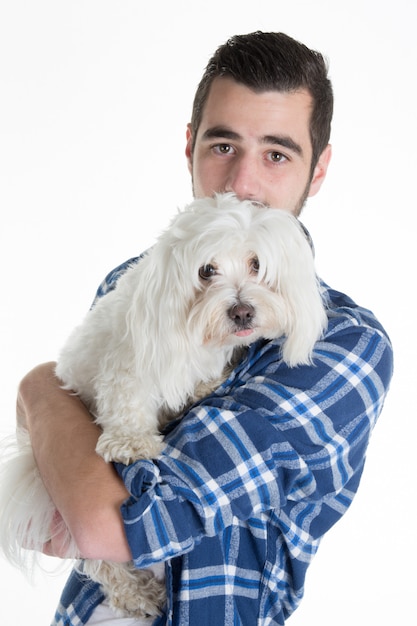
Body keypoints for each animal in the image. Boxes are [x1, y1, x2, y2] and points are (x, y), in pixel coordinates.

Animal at [0, 193, 324, 616]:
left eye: (257, 265)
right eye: (206, 270)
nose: (242, 311)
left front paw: (209, 384)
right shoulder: (127, 360)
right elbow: (127, 397)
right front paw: (131, 442)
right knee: (97, 560)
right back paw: (135, 593)